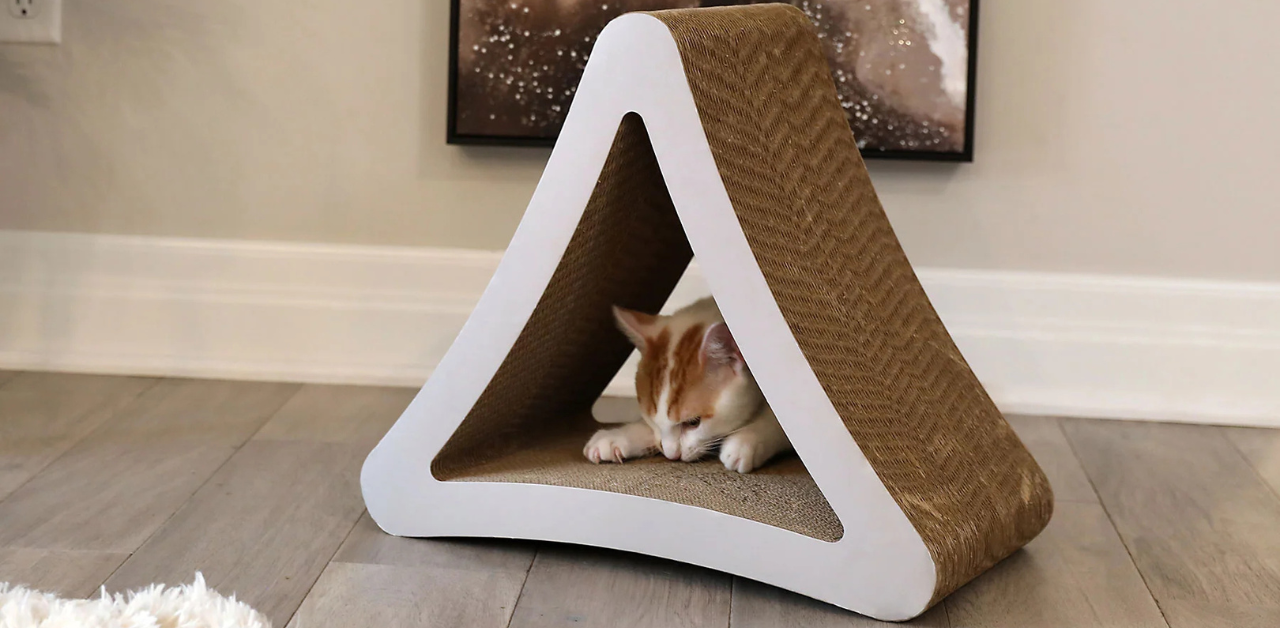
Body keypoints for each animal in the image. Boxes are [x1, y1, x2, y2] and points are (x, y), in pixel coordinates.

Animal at [583, 299, 788, 470]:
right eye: (652, 420)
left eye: (693, 422)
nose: (672, 455)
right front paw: (619, 435)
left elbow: (779, 421)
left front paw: (746, 441)